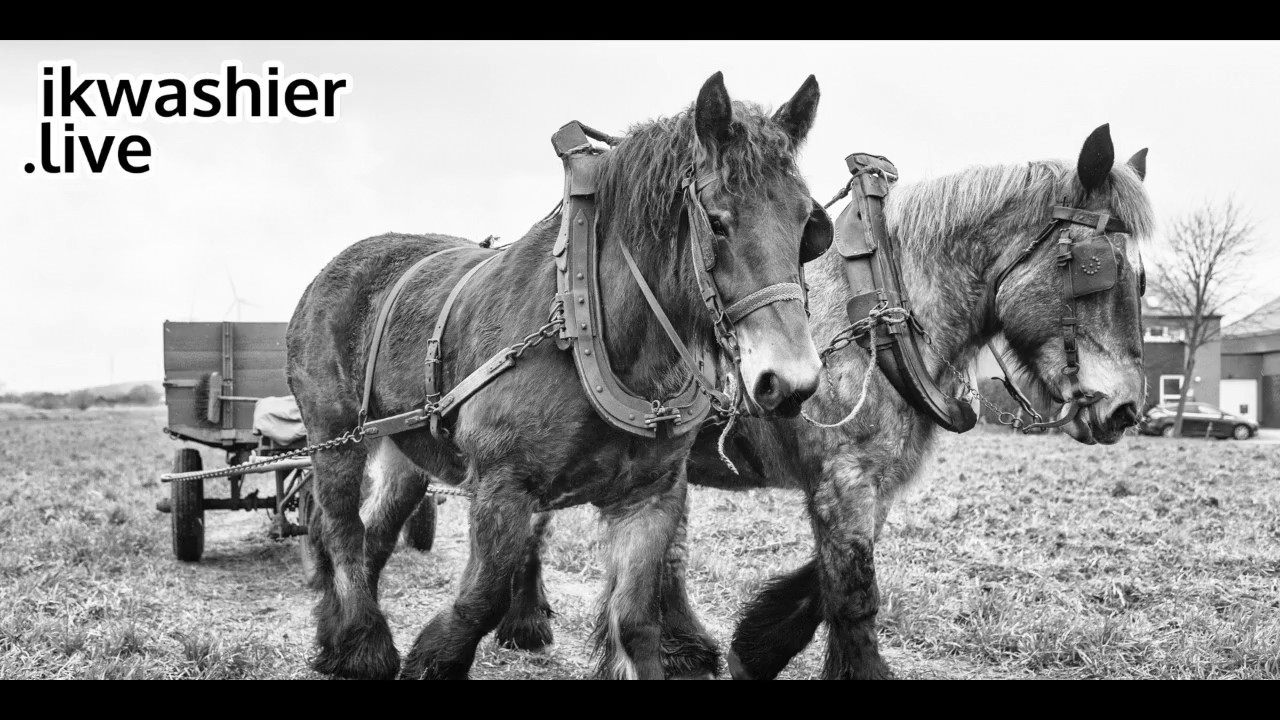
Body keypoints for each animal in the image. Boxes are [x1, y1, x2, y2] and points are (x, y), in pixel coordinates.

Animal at [285, 72, 828, 680]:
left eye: (807, 224)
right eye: (717, 222)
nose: (791, 382)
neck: (591, 332)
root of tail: (331, 269)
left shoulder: (651, 496)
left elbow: (637, 620)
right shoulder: (503, 485)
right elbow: (480, 599)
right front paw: (434, 655)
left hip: (405, 449)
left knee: (376, 532)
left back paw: (339, 635)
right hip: (334, 437)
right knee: (339, 529)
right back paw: (362, 645)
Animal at [503, 124, 1155, 679]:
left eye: (1143, 281)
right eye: (1095, 266)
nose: (1126, 409)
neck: (881, 312)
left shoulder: (874, 481)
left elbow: (828, 578)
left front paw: (755, 649)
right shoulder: (845, 476)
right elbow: (854, 590)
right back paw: (539, 624)